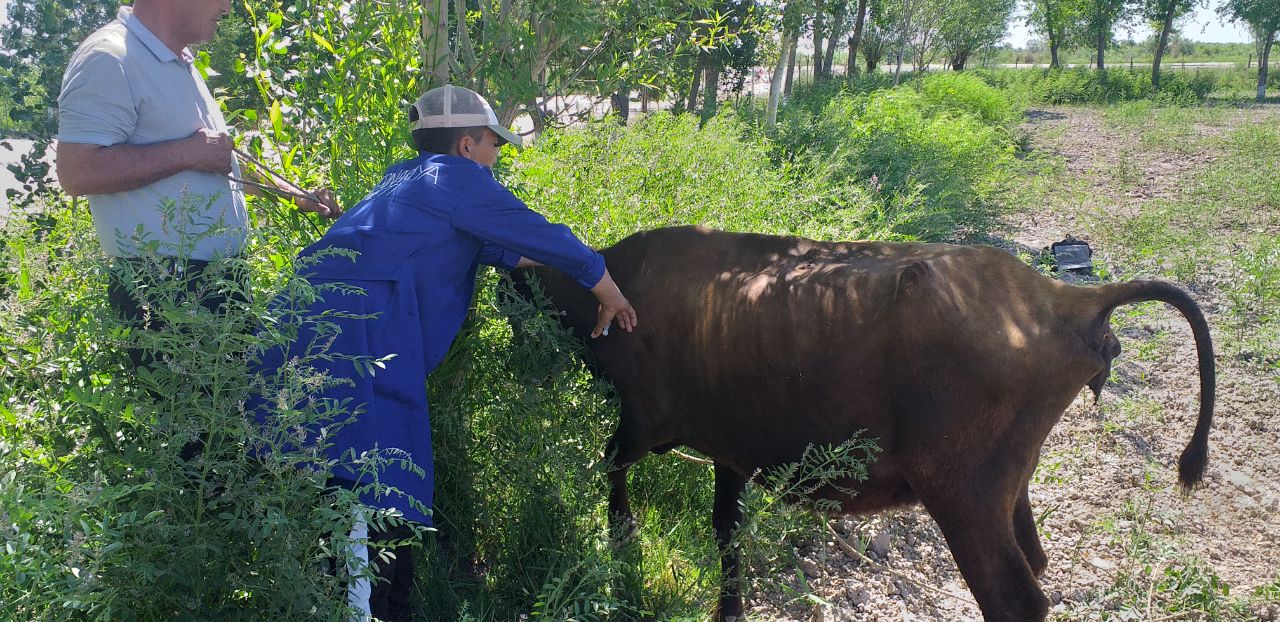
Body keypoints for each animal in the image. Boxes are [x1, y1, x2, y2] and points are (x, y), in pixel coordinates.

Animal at [506, 225, 1215, 622]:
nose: (519, 369)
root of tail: (1068, 298)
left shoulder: (646, 419)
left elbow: (611, 469)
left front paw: (622, 540)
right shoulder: (730, 448)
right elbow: (726, 534)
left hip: (962, 495)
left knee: (1015, 600)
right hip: (1009, 489)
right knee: (1036, 561)